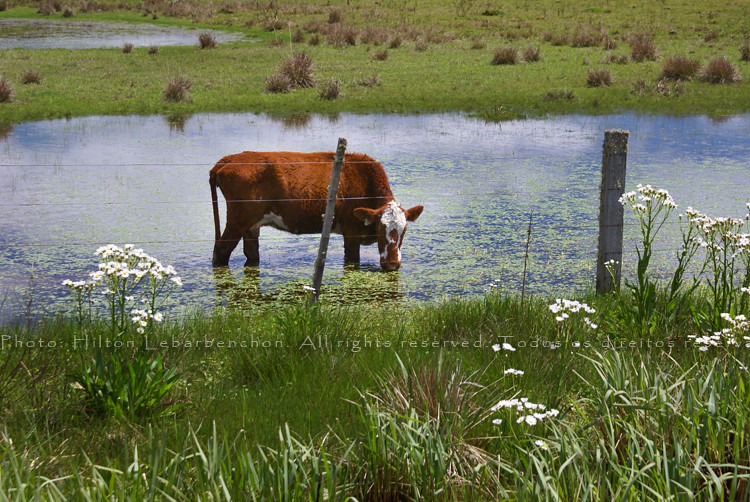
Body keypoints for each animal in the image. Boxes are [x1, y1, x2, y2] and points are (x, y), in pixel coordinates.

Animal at [210, 151, 424, 270]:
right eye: (380, 228)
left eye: (404, 231)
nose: (392, 264)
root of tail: (230, 159)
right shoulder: (351, 233)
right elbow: (352, 260)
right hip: (237, 221)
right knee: (222, 249)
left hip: (251, 225)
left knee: (251, 254)